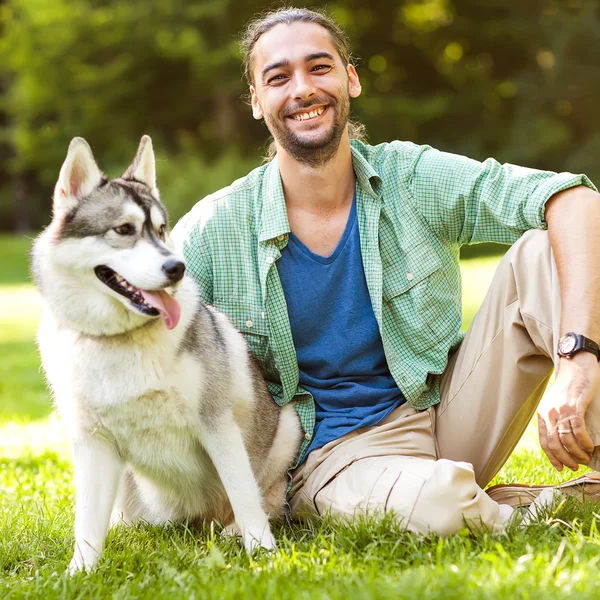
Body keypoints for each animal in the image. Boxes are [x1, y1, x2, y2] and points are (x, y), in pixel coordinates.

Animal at [31, 135, 300, 572]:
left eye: (160, 229)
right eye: (123, 229)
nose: (177, 267)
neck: (120, 340)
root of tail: (197, 520)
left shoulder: (217, 424)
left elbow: (245, 496)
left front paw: (262, 552)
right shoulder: (92, 443)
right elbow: (86, 523)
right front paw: (79, 572)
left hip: (288, 426)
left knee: (263, 499)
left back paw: (231, 532)